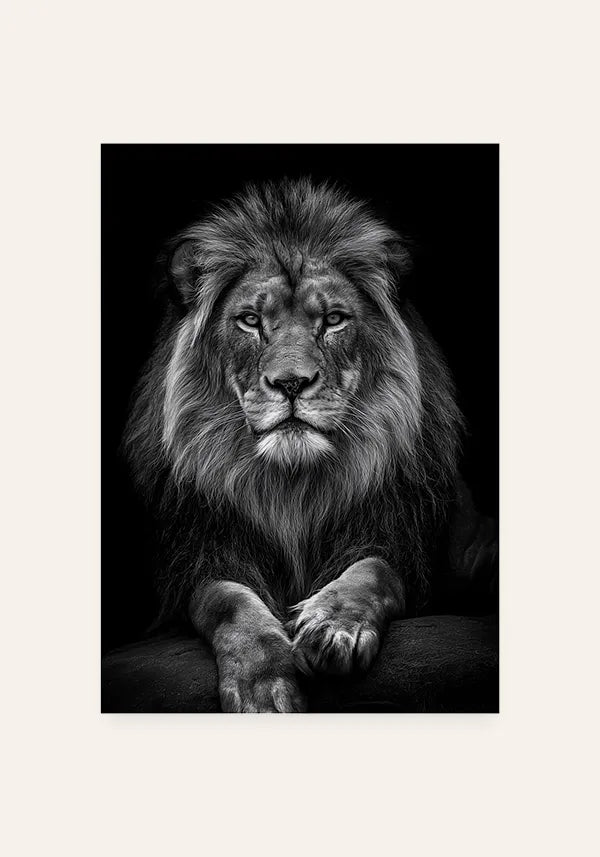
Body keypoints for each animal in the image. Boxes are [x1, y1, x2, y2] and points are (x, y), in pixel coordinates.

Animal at [123, 178, 497, 712]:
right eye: (250, 320)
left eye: (334, 319)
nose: (291, 383)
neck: (293, 489)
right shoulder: (200, 555)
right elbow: (227, 600)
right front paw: (263, 683)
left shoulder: (395, 535)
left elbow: (372, 570)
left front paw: (332, 626)